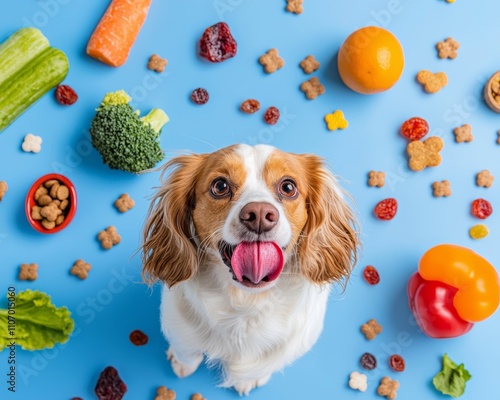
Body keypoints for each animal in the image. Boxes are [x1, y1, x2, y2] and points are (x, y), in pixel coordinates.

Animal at [141, 144, 360, 394]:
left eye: (288, 187)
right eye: (220, 186)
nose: (259, 214)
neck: (246, 301)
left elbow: (263, 365)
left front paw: (249, 379)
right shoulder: (177, 323)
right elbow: (186, 349)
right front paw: (182, 363)